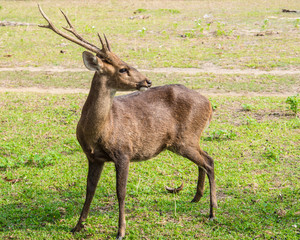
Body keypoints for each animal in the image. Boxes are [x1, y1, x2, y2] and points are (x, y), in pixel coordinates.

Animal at [38, 4, 218, 239]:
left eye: (127, 63)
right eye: (123, 68)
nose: (147, 81)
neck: (100, 132)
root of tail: (209, 104)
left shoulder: (124, 151)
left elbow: (120, 192)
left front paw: (121, 231)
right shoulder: (93, 157)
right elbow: (89, 189)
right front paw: (78, 225)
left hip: (186, 138)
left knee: (209, 161)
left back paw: (212, 212)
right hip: (186, 141)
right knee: (204, 161)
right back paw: (196, 198)